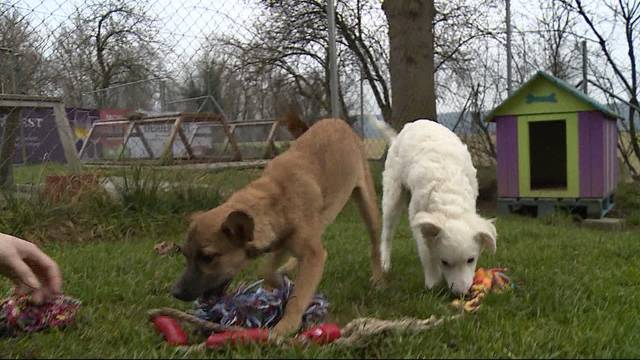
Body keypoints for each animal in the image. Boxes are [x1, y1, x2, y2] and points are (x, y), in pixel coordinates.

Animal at [170, 114, 382, 336]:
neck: (277, 199)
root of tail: (337, 121)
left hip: (367, 205)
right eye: (185, 254)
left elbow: (299, 295)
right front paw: (279, 285)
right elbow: (266, 271)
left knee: (376, 245)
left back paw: (378, 281)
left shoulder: (311, 254)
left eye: (208, 257)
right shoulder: (281, 241)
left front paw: (285, 326)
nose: (175, 292)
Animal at [378, 119, 498, 294]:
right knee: (387, 232)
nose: (461, 294)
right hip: (392, 193)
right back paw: (385, 264)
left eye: (471, 260)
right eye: (444, 262)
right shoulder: (417, 215)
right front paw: (432, 282)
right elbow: (426, 252)